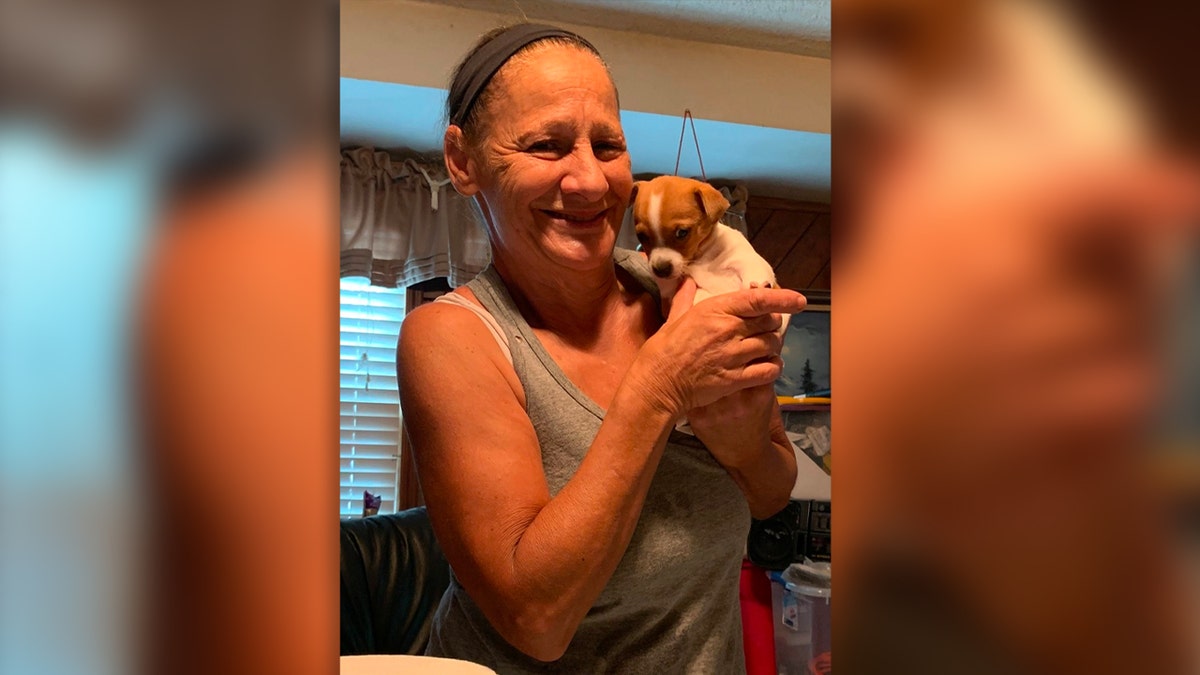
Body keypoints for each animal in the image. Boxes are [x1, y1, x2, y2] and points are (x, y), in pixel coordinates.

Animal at [628, 174, 787, 333]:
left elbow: (752, 266)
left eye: (682, 232)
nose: (660, 270)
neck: (698, 260)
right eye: (641, 236)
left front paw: (758, 286)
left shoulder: (743, 256)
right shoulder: (669, 296)